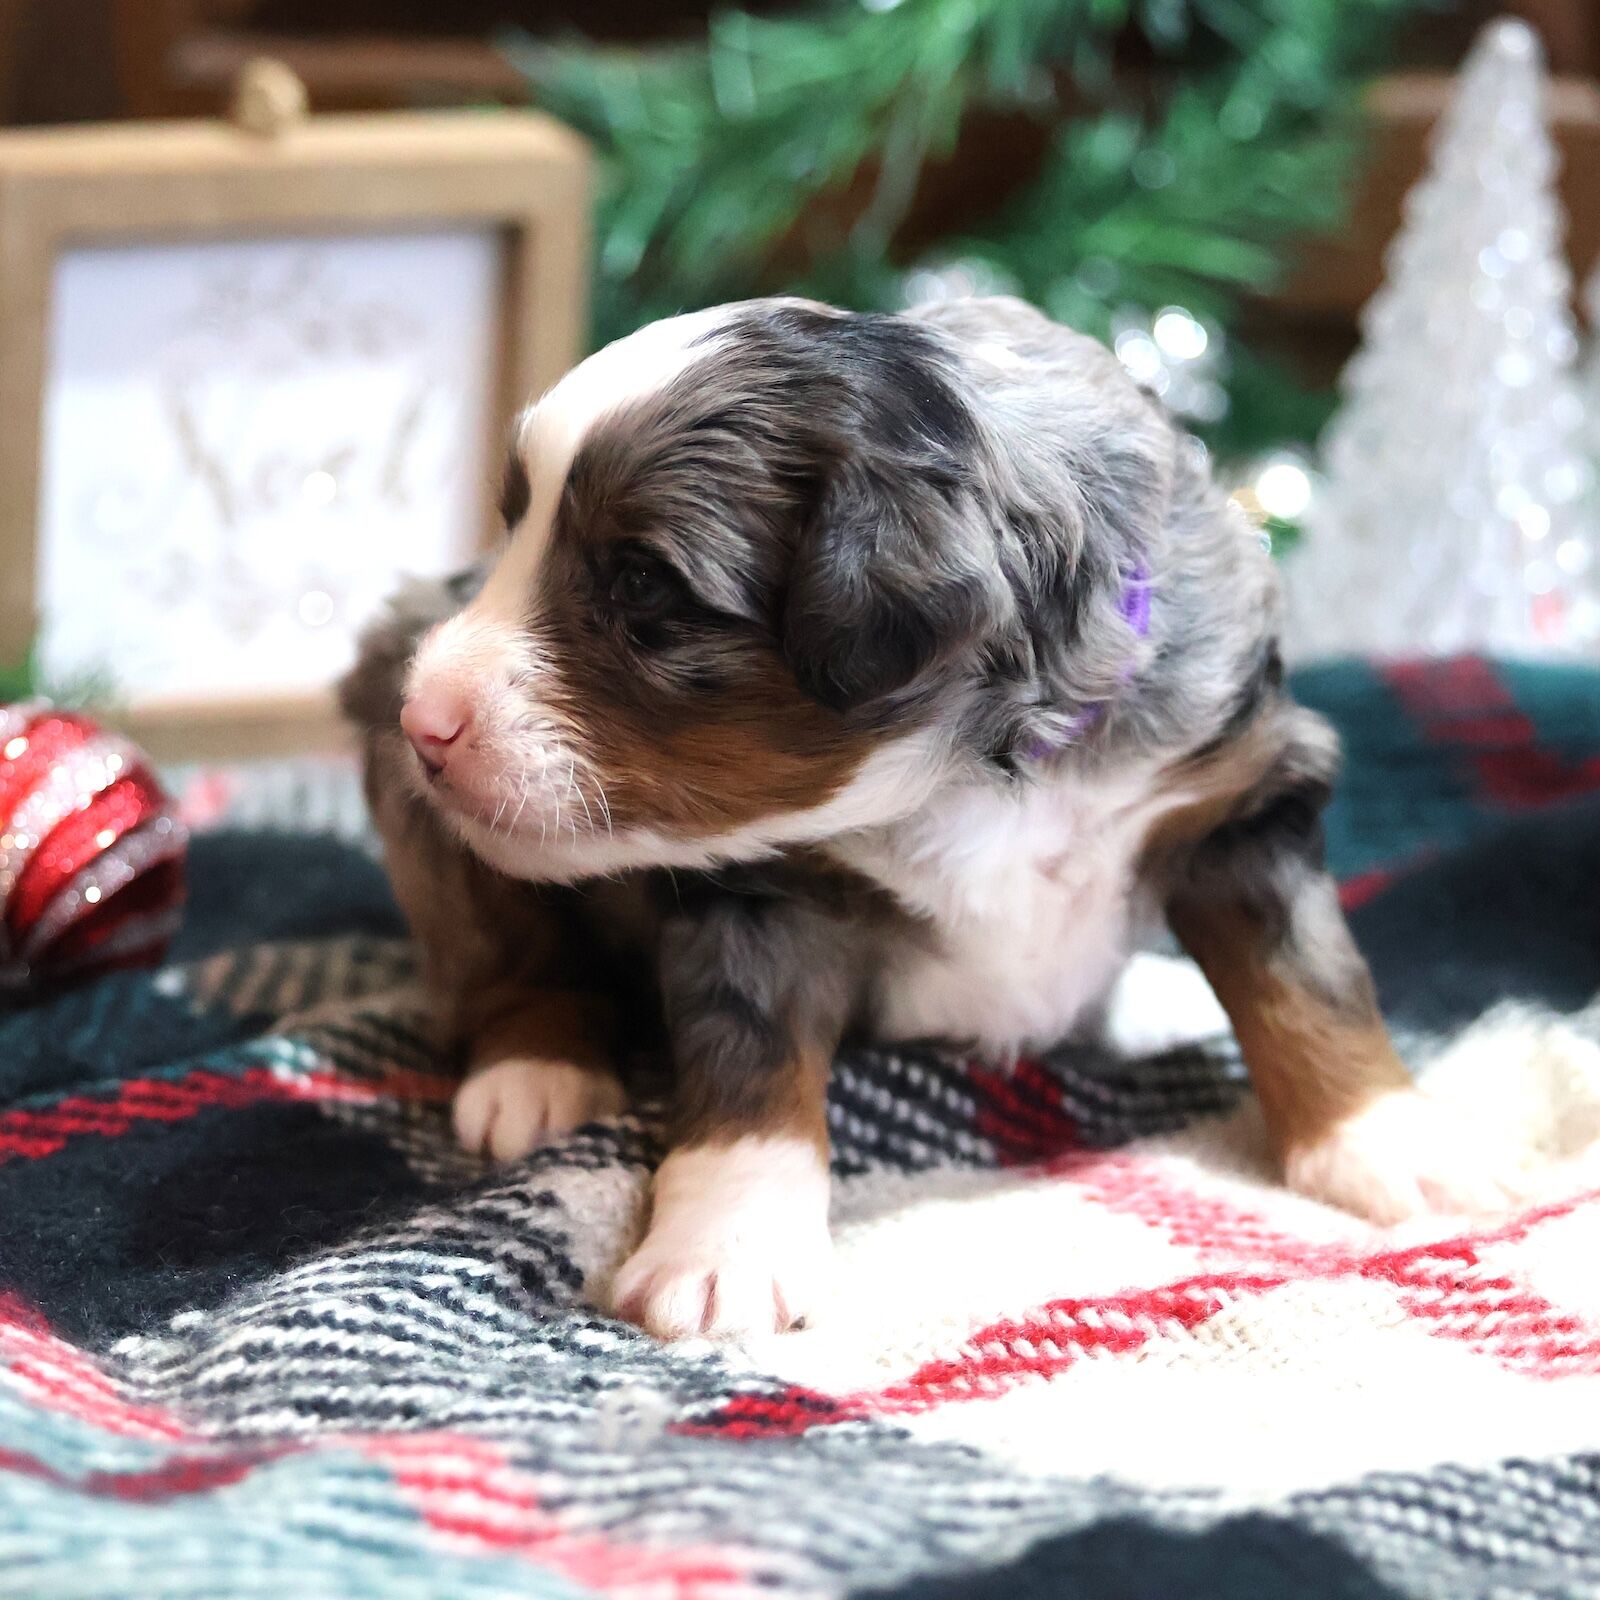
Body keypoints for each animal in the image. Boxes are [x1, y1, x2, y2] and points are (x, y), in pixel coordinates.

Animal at [341, 295, 1521, 1341]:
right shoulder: (761, 890)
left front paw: (1391, 1143)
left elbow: (1309, 977)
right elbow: (747, 1053)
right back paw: (536, 1072)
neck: (976, 772)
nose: (423, 717)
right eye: (514, 530)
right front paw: (723, 1256)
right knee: (501, 951)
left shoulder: (1239, 800)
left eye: (641, 583)